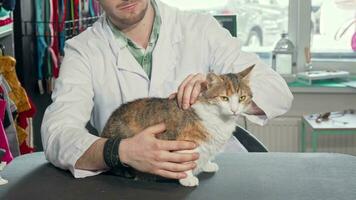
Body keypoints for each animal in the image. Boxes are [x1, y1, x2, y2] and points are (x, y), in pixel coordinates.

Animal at [101, 65, 254, 187]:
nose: (234, 110)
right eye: (224, 98)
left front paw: (207, 164)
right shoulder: (186, 143)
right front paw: (187, 178)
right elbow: (186, 161)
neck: (220, 119)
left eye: (242, 98)